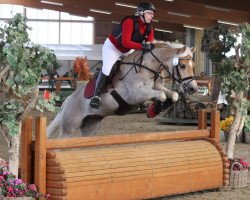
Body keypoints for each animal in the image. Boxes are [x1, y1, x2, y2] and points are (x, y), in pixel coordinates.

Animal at [47, 40, 197, 138]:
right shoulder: (136, 94)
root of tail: (67, 100)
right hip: (69, 128)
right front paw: (153, 109)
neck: (148, 66)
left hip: (91, 126)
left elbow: (172, 95)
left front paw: (153, 110)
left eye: (193, 65)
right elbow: (161, 95)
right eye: (182, 66)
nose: (193, 88)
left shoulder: (156, 87)